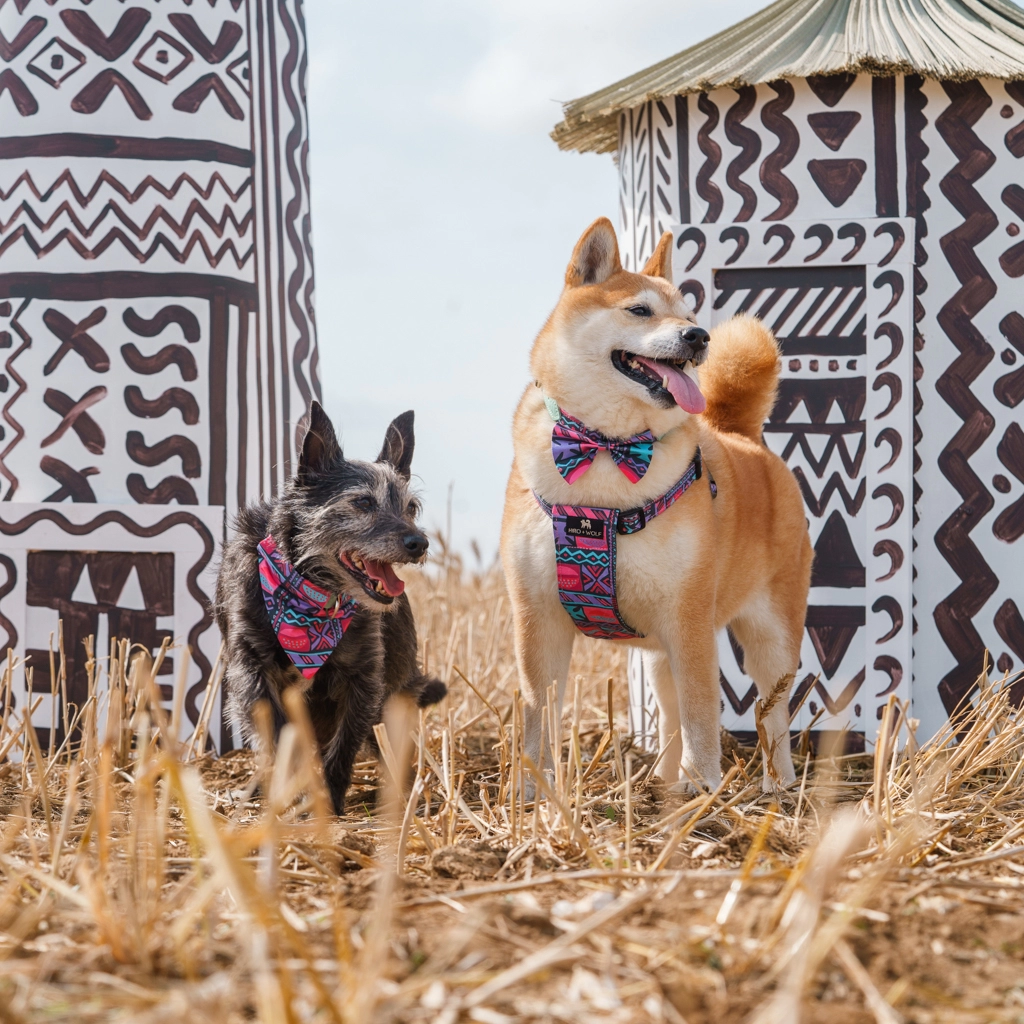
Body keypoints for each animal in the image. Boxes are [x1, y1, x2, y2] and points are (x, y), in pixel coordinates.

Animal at [216, 403, 444, 811]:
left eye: (411, 507)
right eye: (363, 502)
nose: (419, 543)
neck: (314, 595)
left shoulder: (364, 680)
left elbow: (342, 748)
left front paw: (329, 804)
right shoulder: (251, 672)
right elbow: (277, 739)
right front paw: (287, 789)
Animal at [499, 216, 811, 790]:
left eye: (688, 316)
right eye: (640, 310)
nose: (698, 336)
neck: (606, 449)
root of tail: (738, 433)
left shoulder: (690, 619)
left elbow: (702, 715)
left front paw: (705, 788)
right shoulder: (537, 618)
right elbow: (537, 715)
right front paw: (534, 791)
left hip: (770, 636)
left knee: (771, 712)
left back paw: (776, 784)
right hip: (660, 649)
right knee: (668, 716)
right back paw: (662, 783)